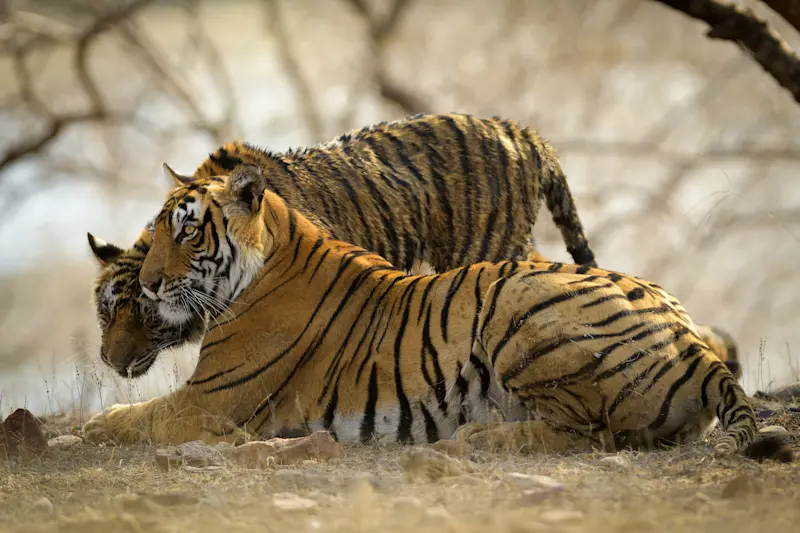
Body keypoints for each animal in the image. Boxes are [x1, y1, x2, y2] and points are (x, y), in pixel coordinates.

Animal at [82, 165, 788, 462]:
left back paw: (479, 437)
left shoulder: (207, 402)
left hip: (517, 310)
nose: (150, 282)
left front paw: (82, 430)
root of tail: (691, 339)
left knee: (594, 435)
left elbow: (127, 420)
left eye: (187, 229)